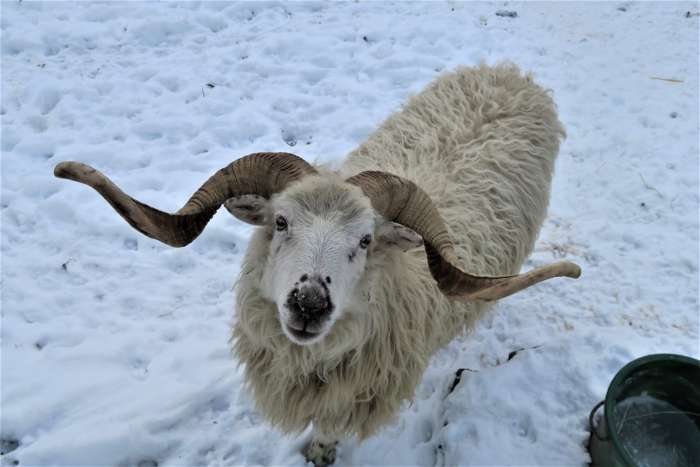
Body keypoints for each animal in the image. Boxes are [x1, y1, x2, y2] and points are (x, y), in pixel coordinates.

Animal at [53, 63, 580, 467]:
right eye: (281, 221)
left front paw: (320, 454)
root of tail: (509, 72)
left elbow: (328, 430)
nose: (309, 303)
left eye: (366, 240)